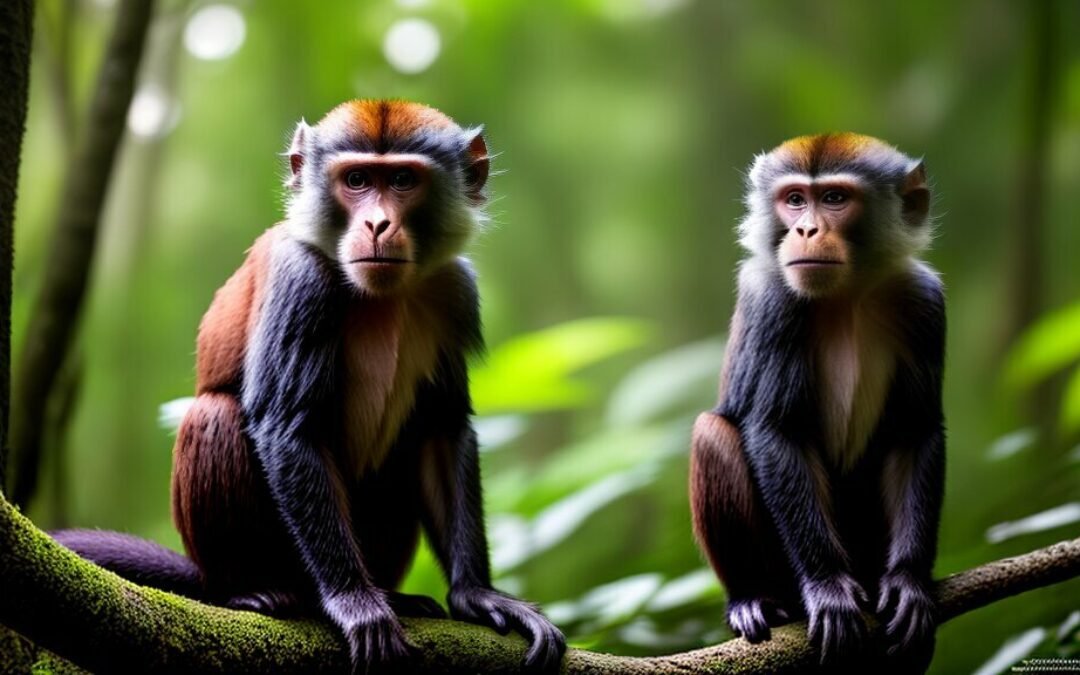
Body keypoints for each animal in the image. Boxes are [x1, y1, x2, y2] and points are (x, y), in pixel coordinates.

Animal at [53, 99, 565, 672]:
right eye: (357, 180)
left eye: (403, 180)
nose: (378, 223)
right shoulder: (302, 280)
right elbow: (286, 428)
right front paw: (353, 603)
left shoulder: (453, 289)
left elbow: (441, 429)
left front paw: (478, 595)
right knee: (213, 414)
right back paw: (253, 589)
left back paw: (394, 595)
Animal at [689, 134, 944, 671]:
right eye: (794, 200)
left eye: (833, 198)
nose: (805, 229)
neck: (847, 296)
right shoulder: (774, 300)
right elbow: (775, 430)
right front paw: (826, 587)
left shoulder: (923, 301)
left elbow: (916, 432)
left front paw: (910, 583)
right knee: (710, 432)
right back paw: (752, 599)